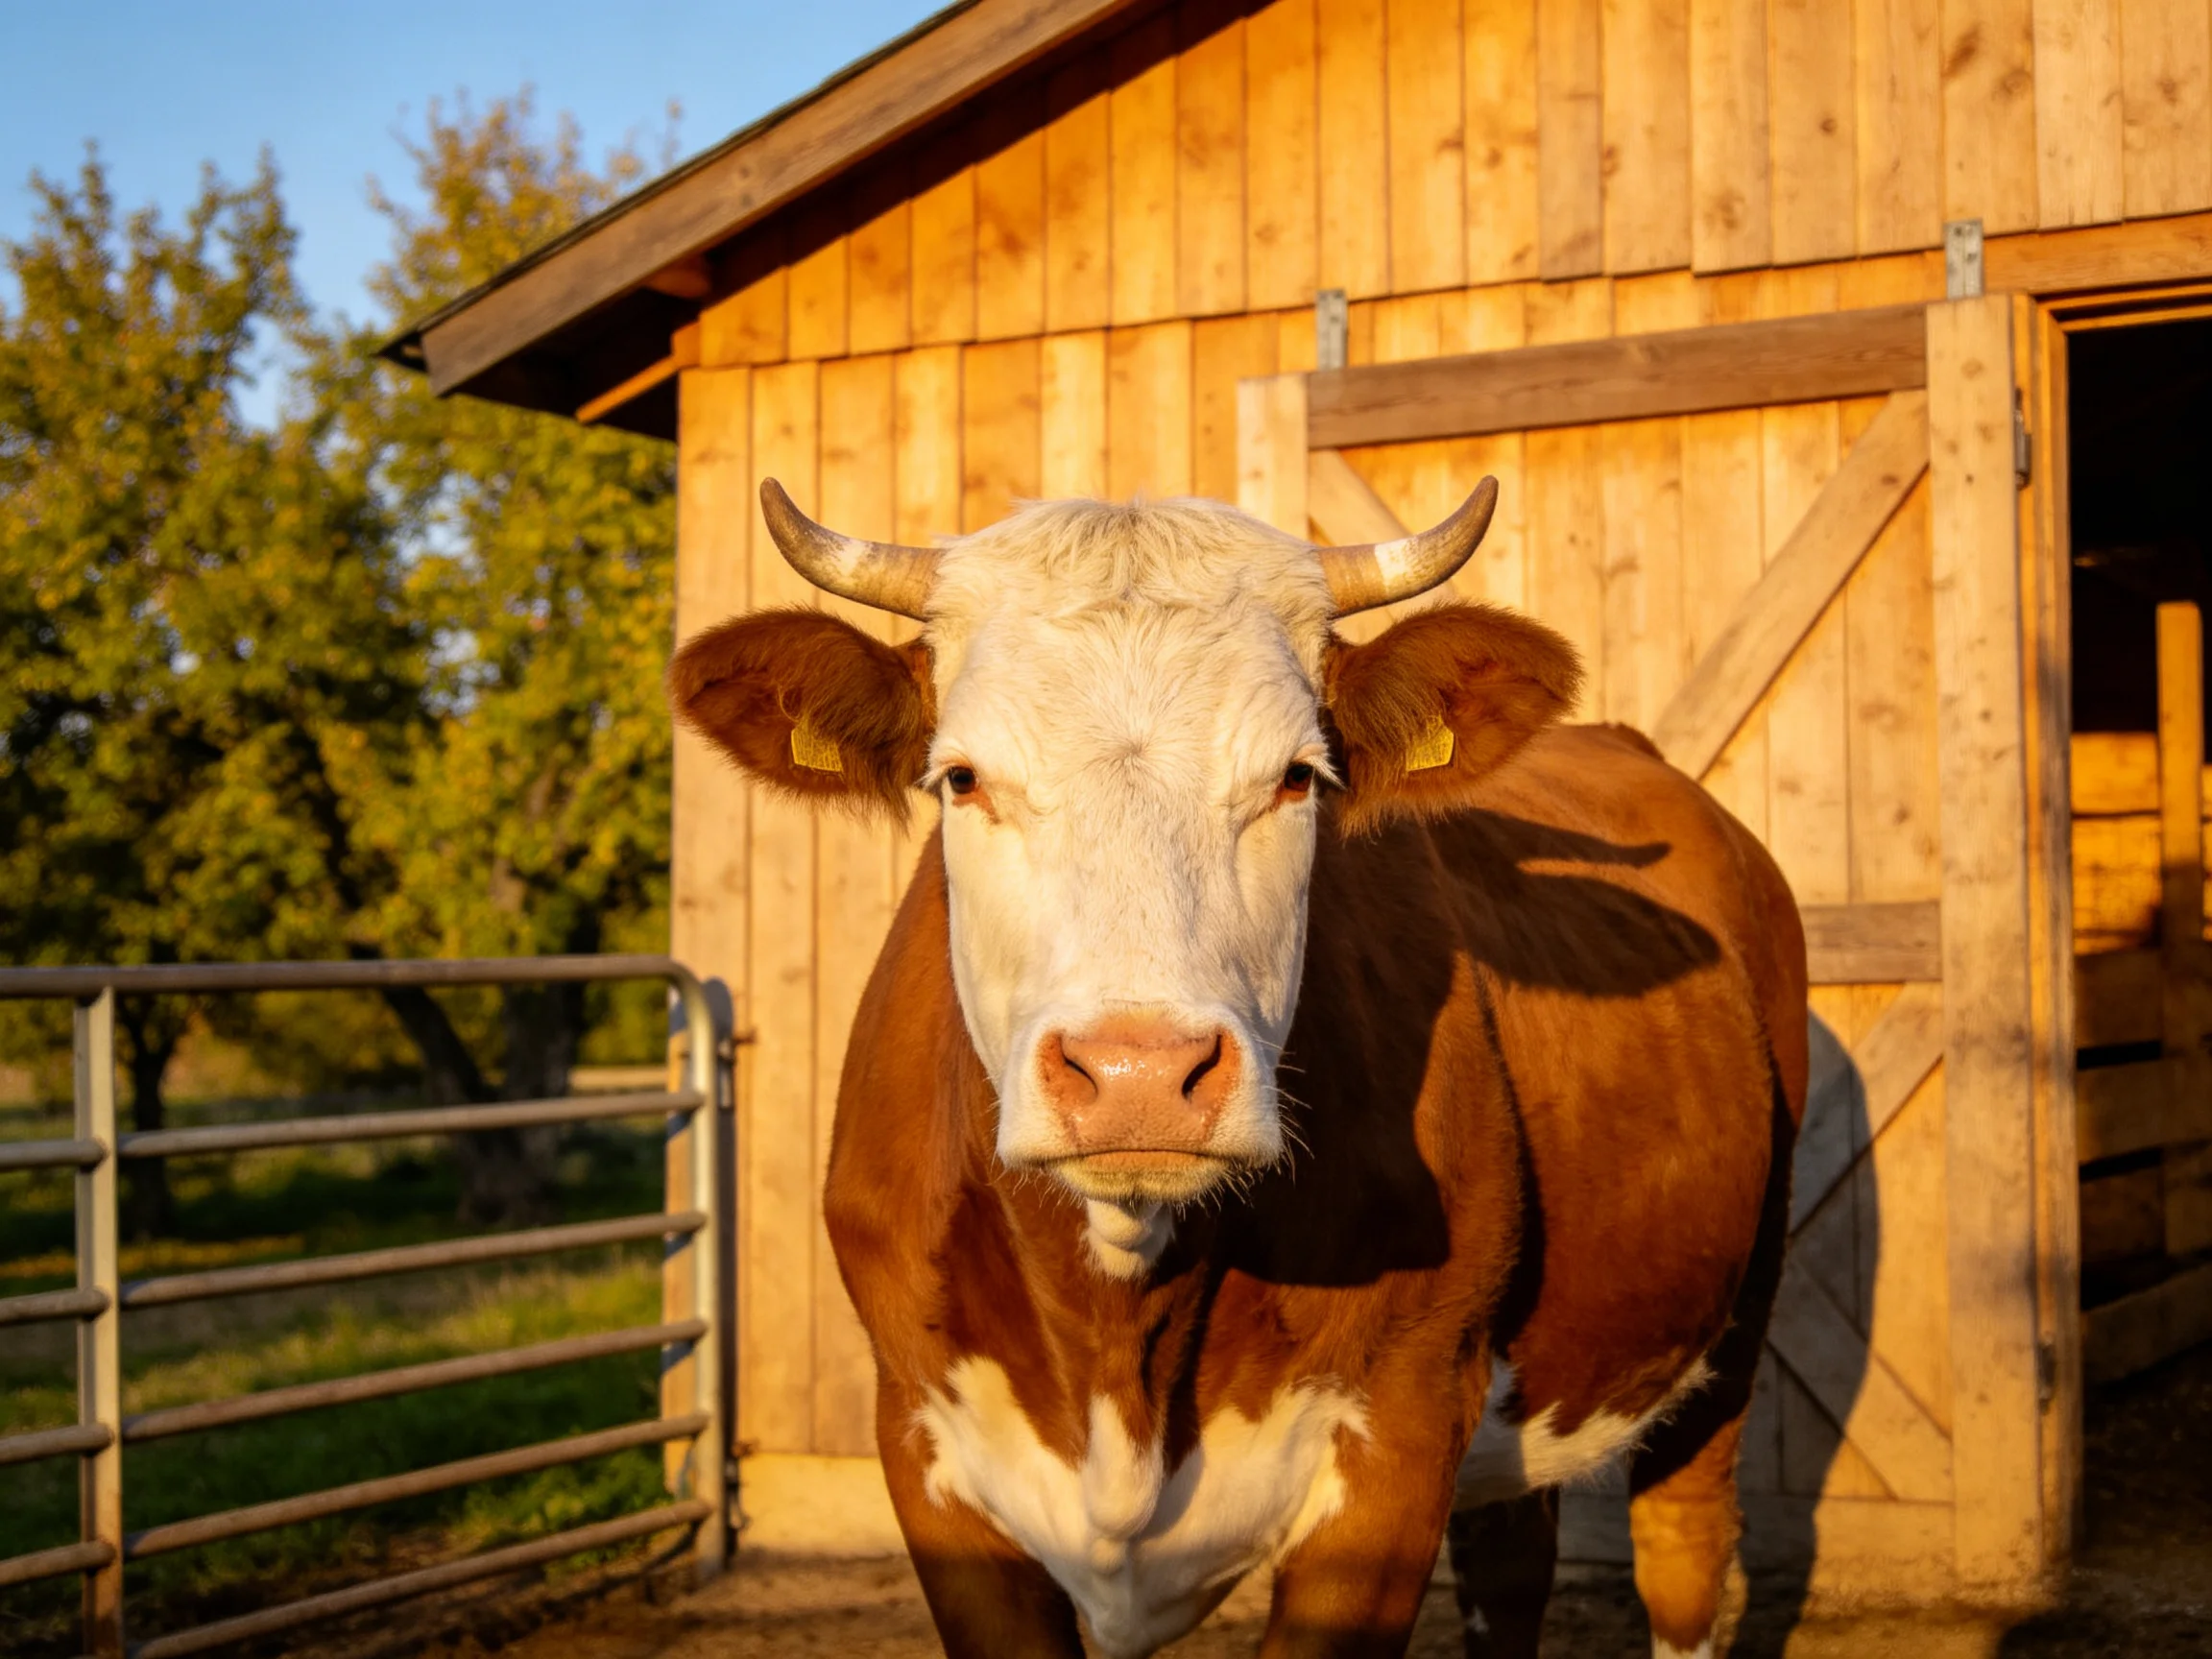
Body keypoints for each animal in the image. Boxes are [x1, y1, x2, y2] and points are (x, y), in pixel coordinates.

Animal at [670, 478, 1808, 1659]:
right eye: (962, 778)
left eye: (1297, 779)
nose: (1136, 1071)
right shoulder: (924, 1444)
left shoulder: (1398, 1437)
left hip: (1734, 1312)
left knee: (1683, 1545)